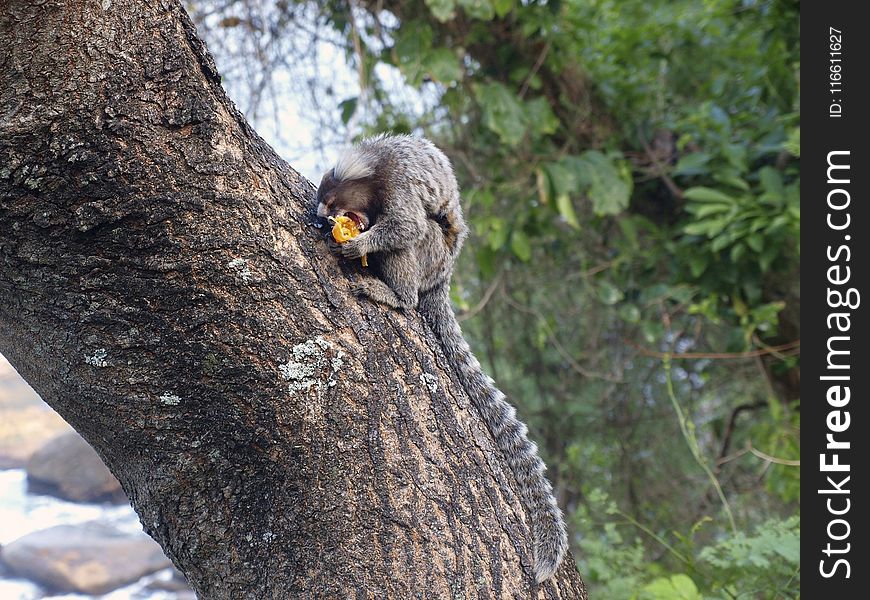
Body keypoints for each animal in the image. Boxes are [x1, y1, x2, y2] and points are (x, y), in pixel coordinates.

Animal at [316, 132, 568, 580]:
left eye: (330, 201)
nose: (321, 216)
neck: (374, 169)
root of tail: (443, 275)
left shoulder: (398, 185)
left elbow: (407, 226)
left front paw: (358, 241)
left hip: (430, 257)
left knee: (417, 240)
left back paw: (398, 296)